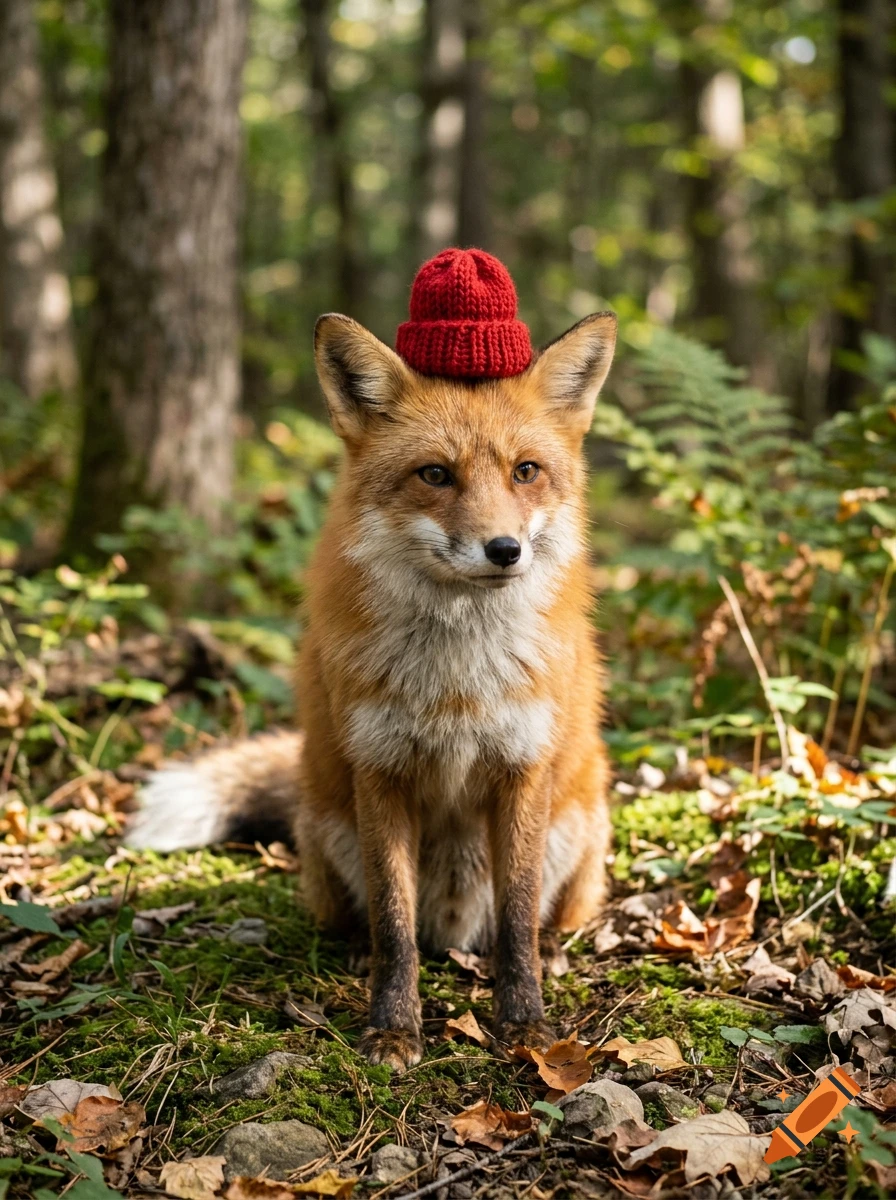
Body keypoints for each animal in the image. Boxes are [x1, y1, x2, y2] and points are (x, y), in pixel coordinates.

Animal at [127, 256, 617, 1071]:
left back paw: (553, 949)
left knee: (534, 922)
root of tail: (454, 931)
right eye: (435, 475)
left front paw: (524, 1024)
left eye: (525, 471)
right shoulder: (380, 771)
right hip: (332, 830)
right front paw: (392, 1028)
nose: (504, 550)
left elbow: (517, 921)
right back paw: (358, 955)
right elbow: (394, 925)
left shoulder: (521, 769)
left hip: (576, 827)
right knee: (380, 925)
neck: (457, 681)